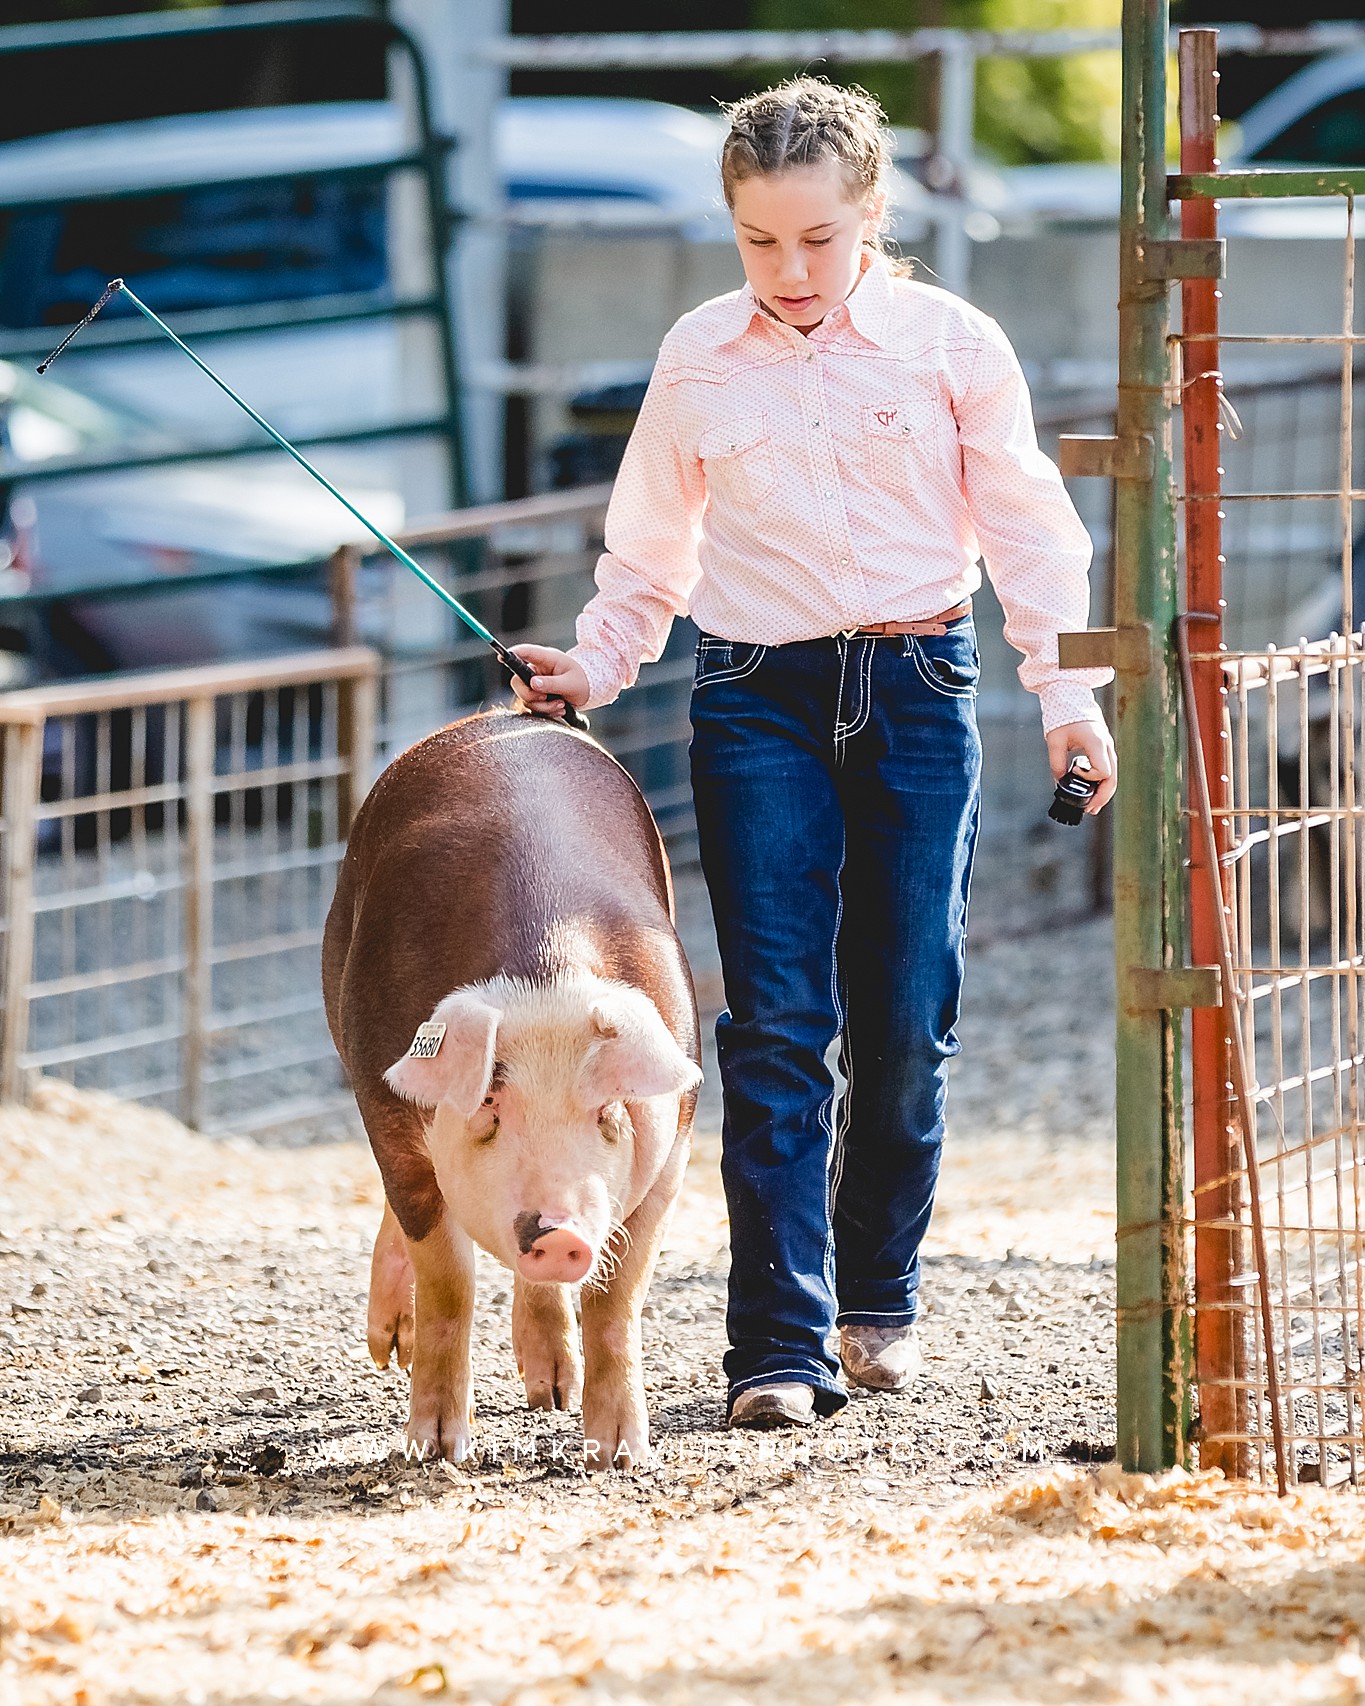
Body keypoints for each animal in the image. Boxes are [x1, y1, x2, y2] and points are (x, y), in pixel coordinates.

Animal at [322, 706, 702, 1467]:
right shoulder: (387, 1109)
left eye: (608, 1107)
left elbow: (618, 1297)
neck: (544, 980)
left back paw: (549, 1392)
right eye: (492, 1102)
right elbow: (449, 1279)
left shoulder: (673, 1144)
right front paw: (437, 1450)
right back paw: (392, 1350)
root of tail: (502, 713)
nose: (559, 1232)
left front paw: (617, 1455)